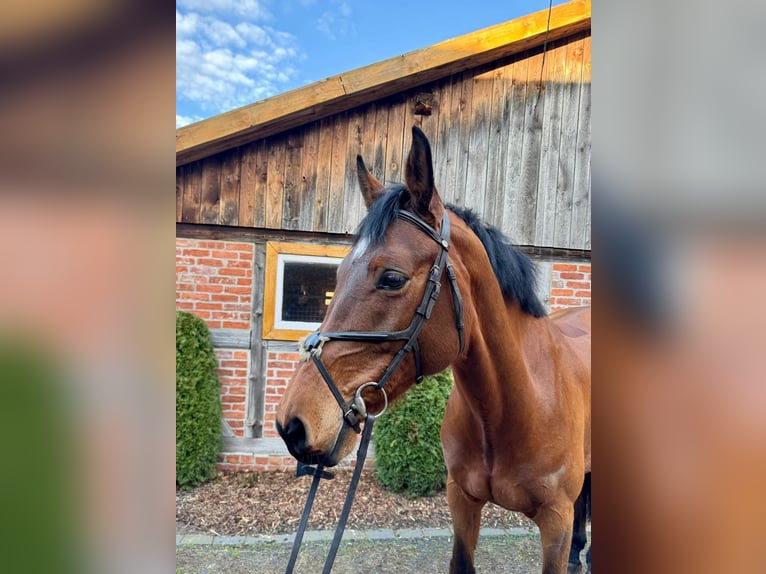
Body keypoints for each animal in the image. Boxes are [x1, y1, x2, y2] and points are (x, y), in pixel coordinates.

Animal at [276, 126, 591, 574]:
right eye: (336, 274)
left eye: (392, 278)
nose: (292, 424)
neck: (514, 406)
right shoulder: (461, 500)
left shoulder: (556, 523)